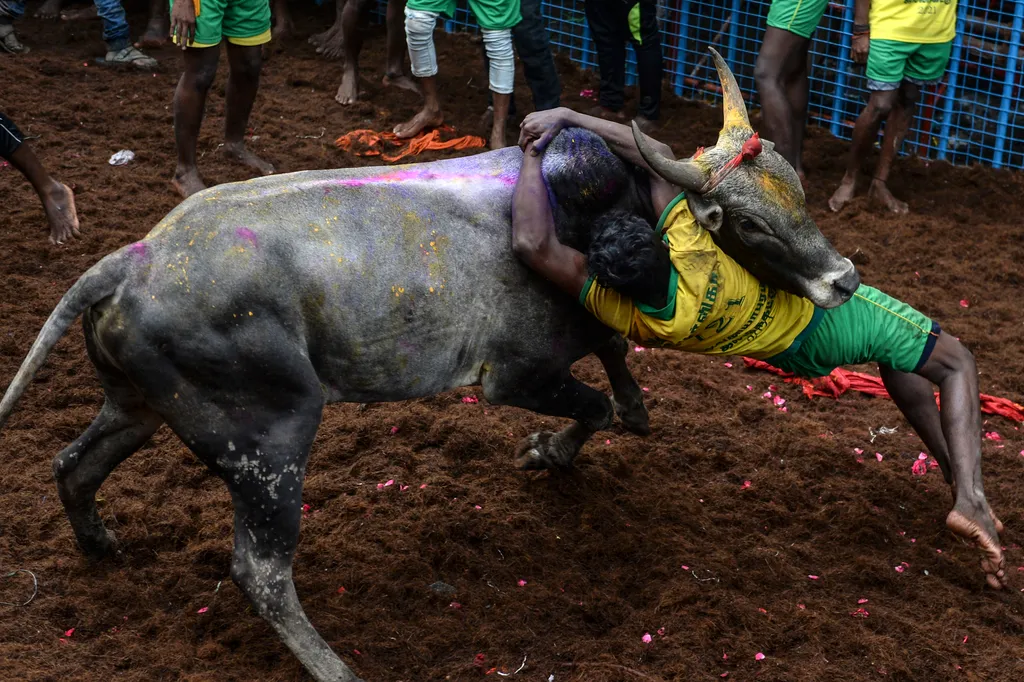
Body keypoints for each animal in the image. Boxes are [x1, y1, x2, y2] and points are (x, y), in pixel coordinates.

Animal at [2, 50, 856, 675]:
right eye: (749, 223)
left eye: (796, 190)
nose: (843, 278)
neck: (595, 205)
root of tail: (133, 257)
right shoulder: (516, 376)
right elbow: (593, 404)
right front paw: (549, 451)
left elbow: (616, 365)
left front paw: (622, 415)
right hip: (270, 437)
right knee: (261, 571)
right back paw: (335, 667)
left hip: (140, 405)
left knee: (73, 465)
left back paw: (101, 545)